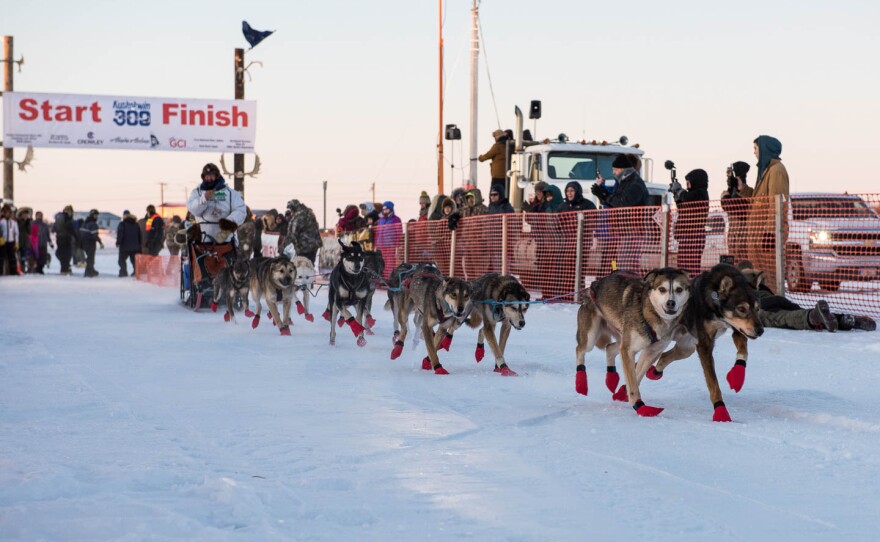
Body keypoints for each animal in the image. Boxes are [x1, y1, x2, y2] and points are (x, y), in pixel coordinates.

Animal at [576, 270, 692, 418]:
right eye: (662, 289)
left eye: (679, 289)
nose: (670, 303)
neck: (650, 313)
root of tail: (593, 286)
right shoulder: (628, 350)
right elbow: (633, 382)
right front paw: (640, 406)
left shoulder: (651, 352)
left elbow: (637, 375)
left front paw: (624, 394)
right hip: (591, 338)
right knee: (580, 349)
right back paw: (581, 383)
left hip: (621, 338)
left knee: (610, 348)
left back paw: (611, 379)